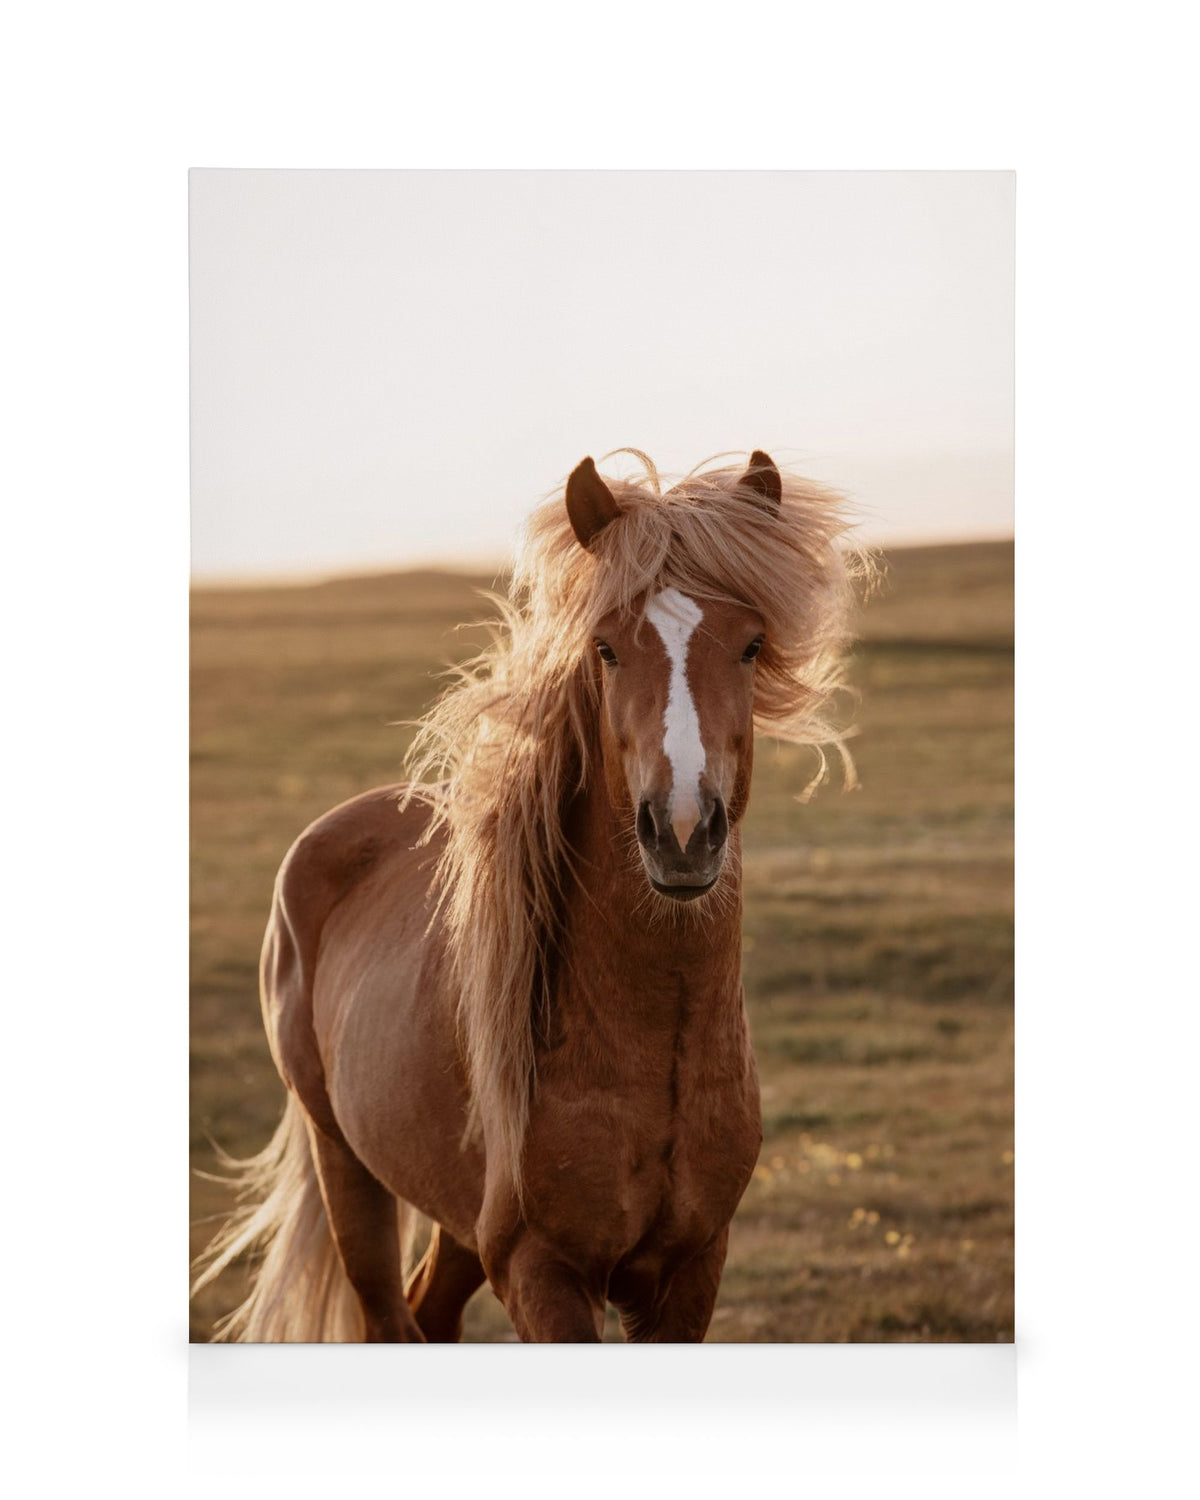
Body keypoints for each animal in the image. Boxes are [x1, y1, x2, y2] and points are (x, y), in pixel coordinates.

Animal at [193, 448, 862, 1342]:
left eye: (752, 645)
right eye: (606, 648)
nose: (684, 829)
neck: (648, 1045)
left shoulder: (690, 1269)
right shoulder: (540, 1269)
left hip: (456, 1219)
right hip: (348, 1166)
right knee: (387, 1312)